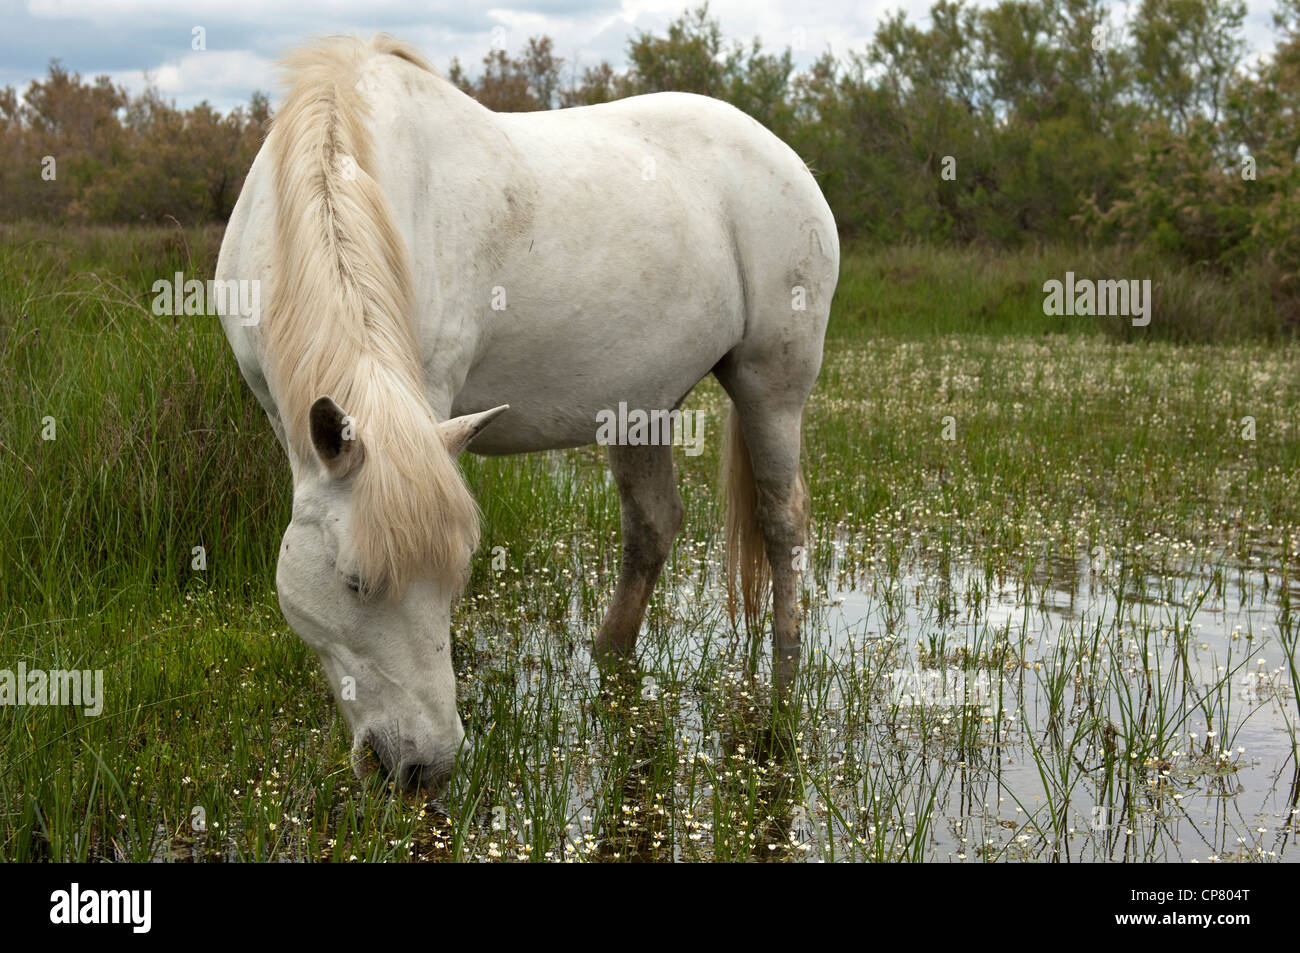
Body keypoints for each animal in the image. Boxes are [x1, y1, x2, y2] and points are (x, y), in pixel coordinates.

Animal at [217, 33, 837, 790]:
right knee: (654, 526)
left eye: (458, 574)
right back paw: (609, 652)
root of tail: (785, 157)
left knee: (782, 522)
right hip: (641, 405)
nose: (422, 765)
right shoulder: (283, 414)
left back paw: (786, 660)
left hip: (770, 386)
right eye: (354, 581)